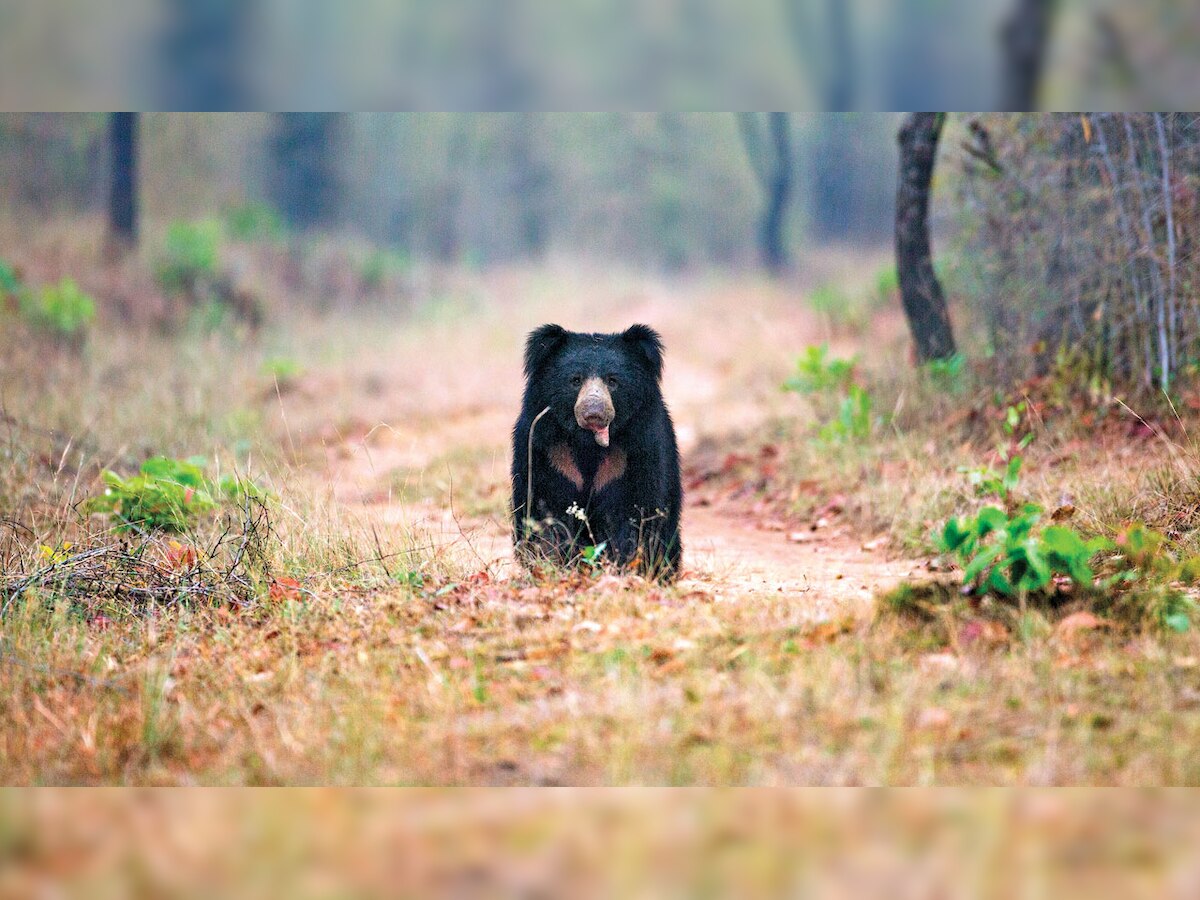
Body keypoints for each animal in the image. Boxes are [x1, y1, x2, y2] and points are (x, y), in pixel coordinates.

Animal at [511, 321, 686, 578]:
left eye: (612, 381)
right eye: (575, 380)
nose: (594, 411)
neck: (588, 441)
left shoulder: (639, 445)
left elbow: (634, 509)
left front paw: (622, 566)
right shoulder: (545, 447)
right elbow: (544, 504)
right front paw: (553, 563)